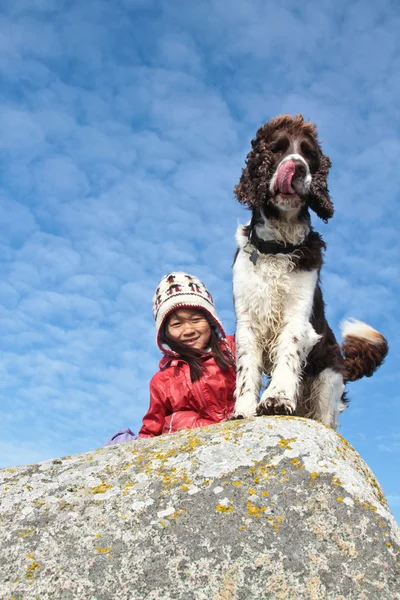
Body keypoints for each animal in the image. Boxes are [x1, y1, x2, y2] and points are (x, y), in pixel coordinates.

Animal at [231, 115, 388, 428]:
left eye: (309, 154)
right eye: (277, 149)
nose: (298, 168)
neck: (277, 247)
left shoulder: (297, 315)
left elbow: (288, 353)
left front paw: (277, 398)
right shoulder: (247, 320)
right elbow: (246, 368)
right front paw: (243, 408)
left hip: (328, 380)